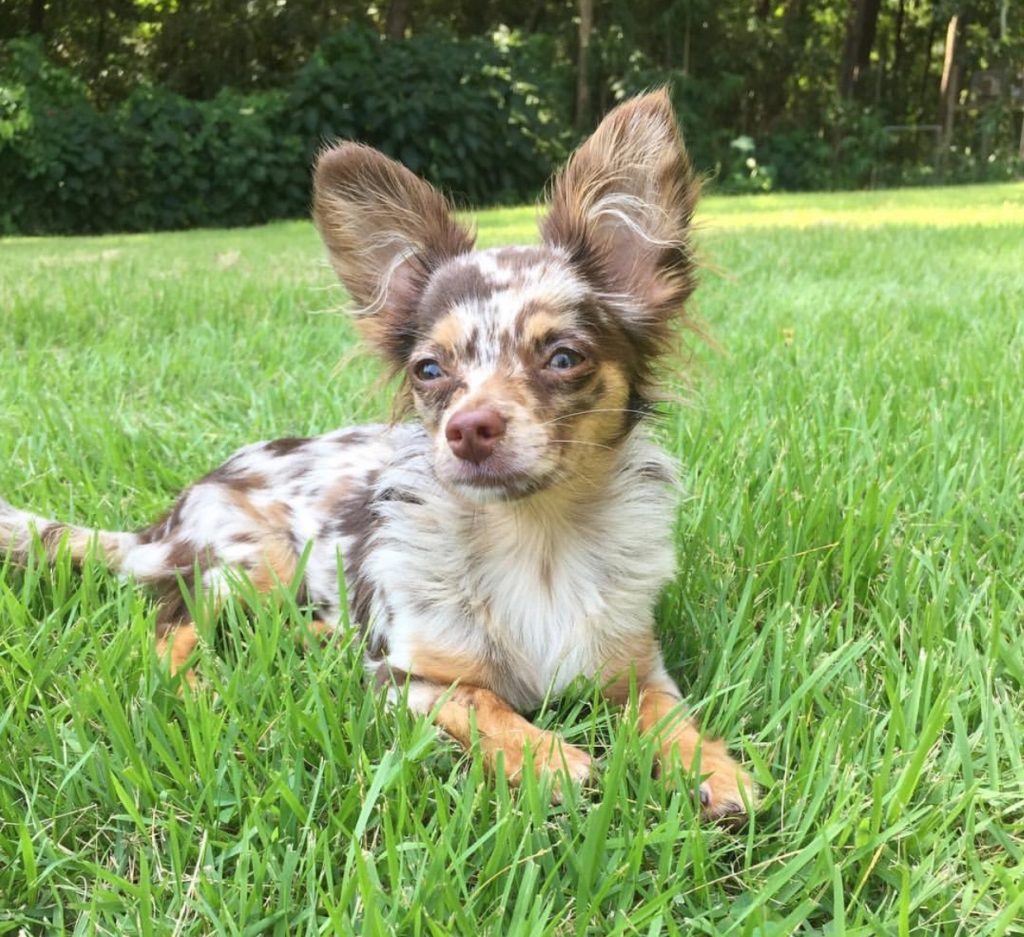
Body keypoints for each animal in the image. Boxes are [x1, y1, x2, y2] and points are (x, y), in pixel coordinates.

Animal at [0, 89, 753, 819]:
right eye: (429, 369)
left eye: (563, 357)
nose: (468, 428)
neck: (536, 540)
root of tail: (175, 509)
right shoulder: (407, 681)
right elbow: (480, 699)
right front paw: (544, 755)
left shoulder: (637, 667)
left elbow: (667, 714)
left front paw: (712, 766)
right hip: (255, 563)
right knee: (169, 625)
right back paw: (200, 686)